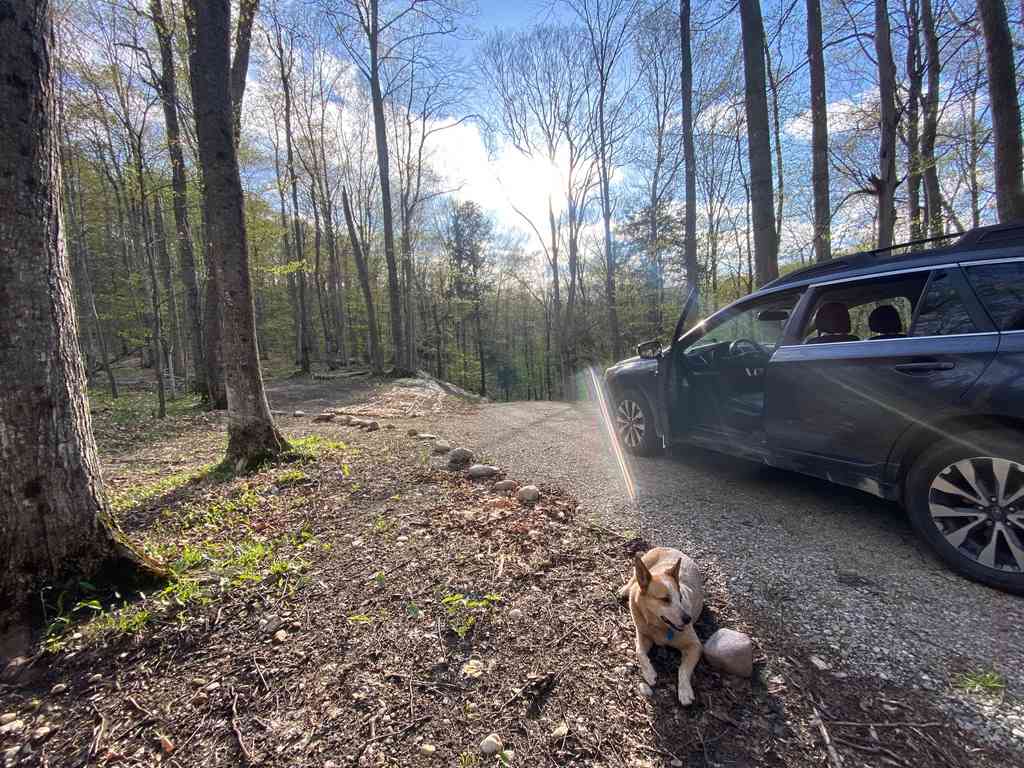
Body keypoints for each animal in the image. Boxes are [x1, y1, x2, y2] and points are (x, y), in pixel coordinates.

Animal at [614, 548, 704, 708]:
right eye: (665, 599)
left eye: (680, 598)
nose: (687, 619)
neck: (658, 627)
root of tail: (669, 548)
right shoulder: (643, 635)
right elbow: (639, 652)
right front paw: (649, 673)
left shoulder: (695, 645)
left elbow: (683, 669)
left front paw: (685, 691)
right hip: (642, 565)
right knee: (634, 580)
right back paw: (624, 590)